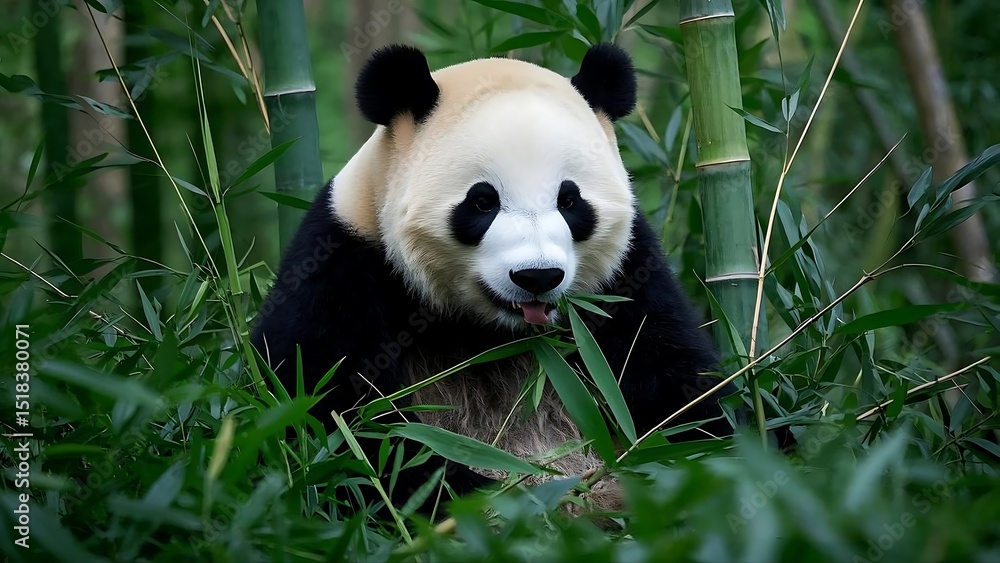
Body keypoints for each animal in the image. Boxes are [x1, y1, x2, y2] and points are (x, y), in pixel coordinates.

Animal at [251, 43, 740, 514]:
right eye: (482, 201)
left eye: (569, 200)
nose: (538, 276)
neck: (491, 331)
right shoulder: (345, 262)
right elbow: (345, 426)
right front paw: (495, 499)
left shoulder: (625, 279)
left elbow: (681, 394)